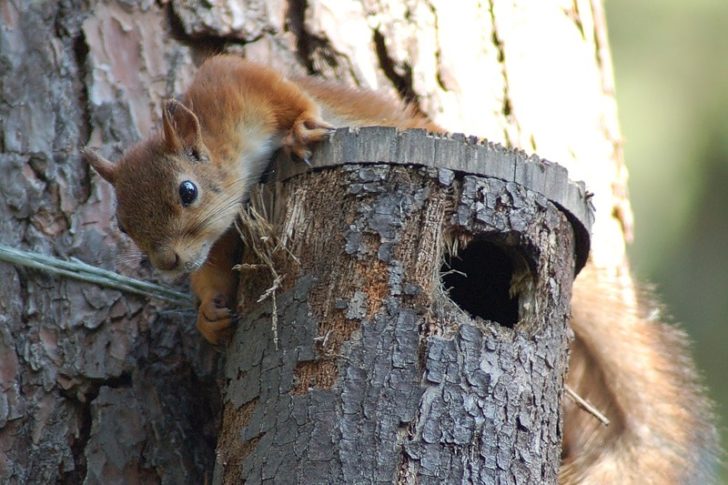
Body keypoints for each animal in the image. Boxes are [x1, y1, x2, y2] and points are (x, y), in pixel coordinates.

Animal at [82, 55, 712, 480]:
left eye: (186, 191)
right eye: (122, 224)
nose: (167, 262)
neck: (224, 148)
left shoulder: (240, 84)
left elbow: (287, 99)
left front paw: (303, 126)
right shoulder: (226, 229)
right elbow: (214, 265)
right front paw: (210, 312)